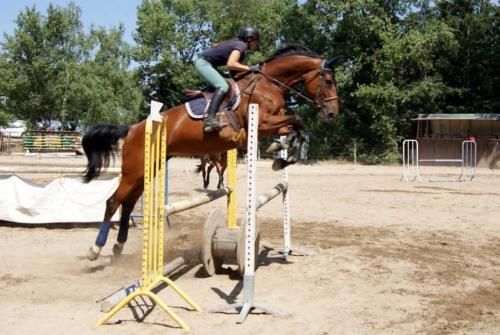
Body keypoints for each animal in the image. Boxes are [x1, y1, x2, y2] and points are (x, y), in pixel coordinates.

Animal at [84, 44, 342, 262]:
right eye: (328, 80)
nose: (332, 114)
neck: (269, 85)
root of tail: (132, 128)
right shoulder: (261, 123)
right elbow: (297, 120)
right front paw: (281, 154)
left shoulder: (274, 123)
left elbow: (298, 128)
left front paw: (283, 156)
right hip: (133, 170)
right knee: (113, 202)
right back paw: (95, 250)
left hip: (148, 168)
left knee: (127, 204)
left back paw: (118, 247)